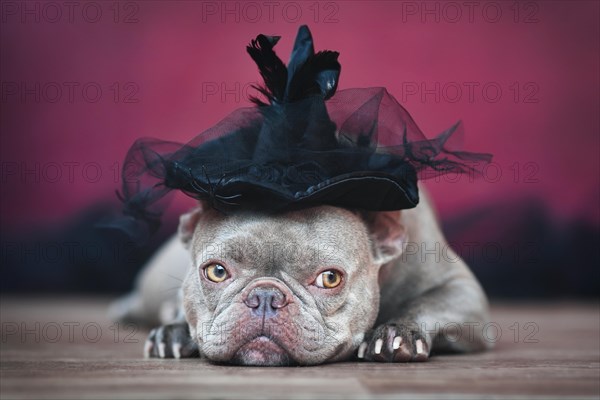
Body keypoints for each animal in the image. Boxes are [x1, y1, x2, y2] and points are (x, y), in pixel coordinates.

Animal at [110, 185, 490, 366]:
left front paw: (398, 333)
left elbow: (428, 302)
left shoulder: (463, 292)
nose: (265, 296)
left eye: (330, 279)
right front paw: (173, 331)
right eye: (216, 271)